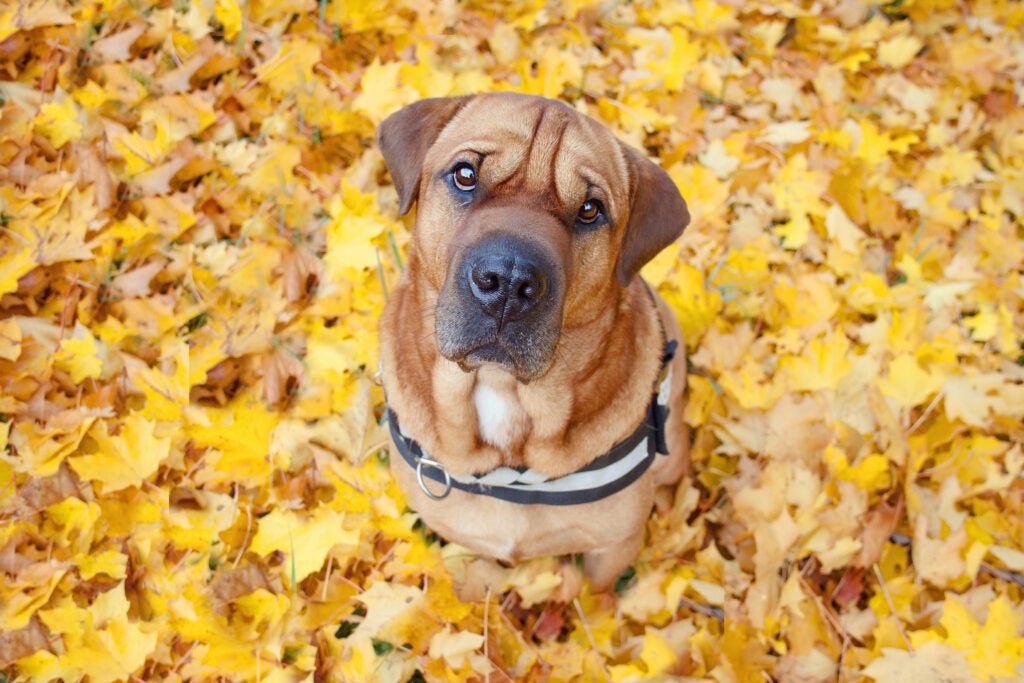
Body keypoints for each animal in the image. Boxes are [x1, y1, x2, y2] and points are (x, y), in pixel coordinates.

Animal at [374, 93, 688, 593]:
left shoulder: (612, 550)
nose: (507, 282)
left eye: (590, 210)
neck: (503, 392)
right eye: (465, 175)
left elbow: (595, 598)